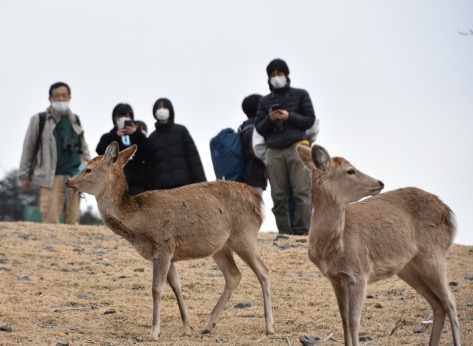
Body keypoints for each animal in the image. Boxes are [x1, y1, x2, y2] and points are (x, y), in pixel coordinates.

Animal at [65, 142, 274, 340]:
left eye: (88, 169)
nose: (68, 181)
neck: (136, 221)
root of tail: (258, 202)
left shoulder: (162, 246)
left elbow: (156, 289)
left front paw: (154, 332)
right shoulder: (170, 253)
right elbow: (176, 286)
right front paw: (187, 327)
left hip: (244, 235)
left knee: (264, 271)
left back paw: (269, 327)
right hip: (221, 247)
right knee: (234, 275)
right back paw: (208, 326)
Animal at [296, 144, 460, 346]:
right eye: (350, 170)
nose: (380, 182)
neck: (333, 248)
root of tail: (450, 213)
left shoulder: (359, 273)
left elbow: (353, 322)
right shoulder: (335, 278)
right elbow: (343, 320)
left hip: (434, 254)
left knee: (450, 301)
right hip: (409, 268)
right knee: (438, 304)